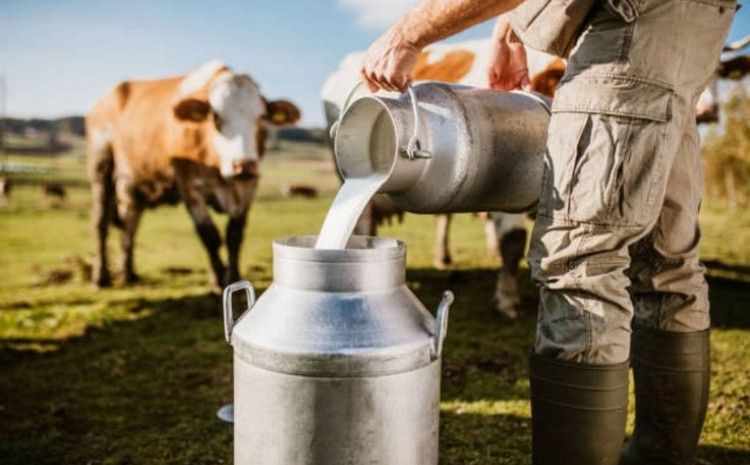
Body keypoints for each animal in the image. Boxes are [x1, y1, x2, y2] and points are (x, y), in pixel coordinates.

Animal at [86, 59, 302, 288]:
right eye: (215, 116)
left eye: (261, 117)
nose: (243, 165)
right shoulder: (190, 187)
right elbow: (209, 235)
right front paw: (218, 279)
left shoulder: (247, 187)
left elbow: (234, 234)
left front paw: (233, 276)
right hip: (101, 167)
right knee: (100, 223)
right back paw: (101, 277)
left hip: (134, 185)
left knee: (130, 223)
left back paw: (128, 273)